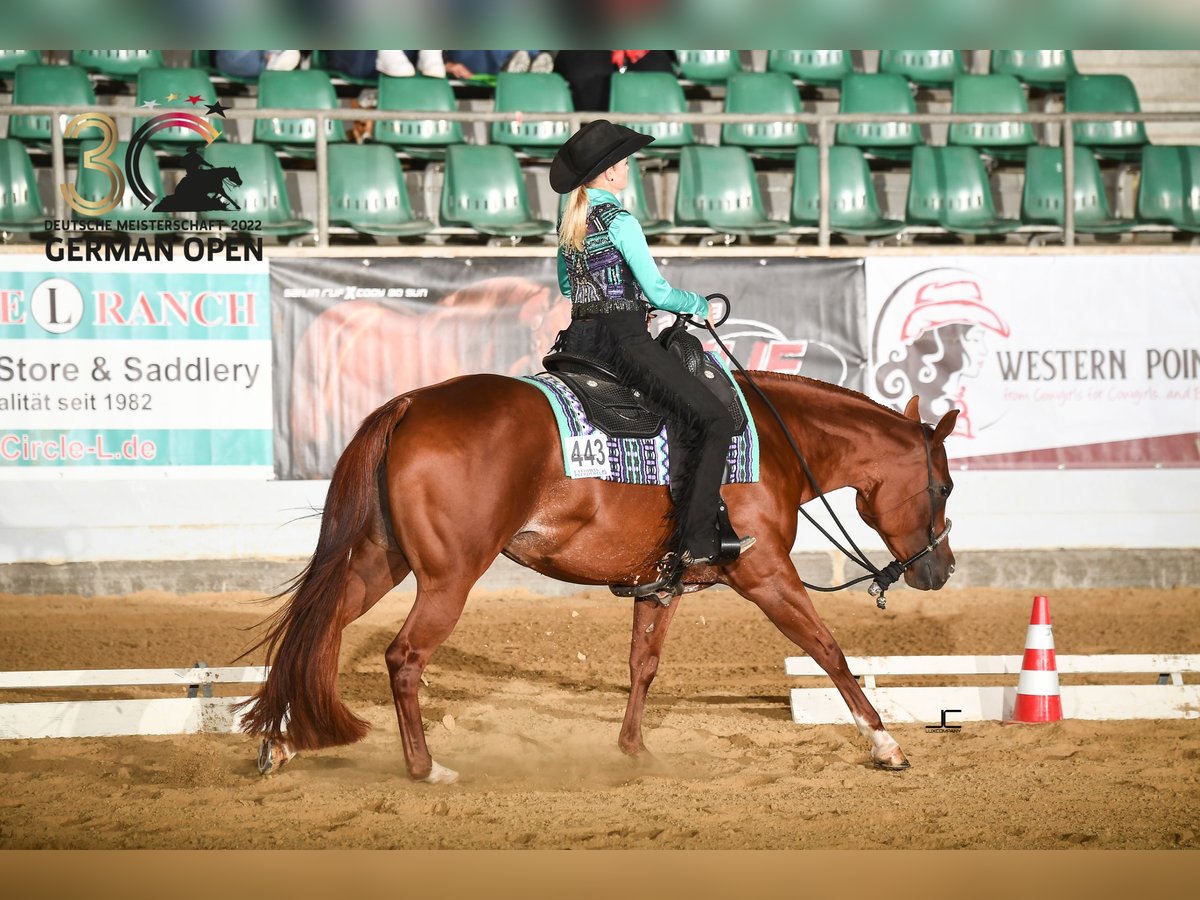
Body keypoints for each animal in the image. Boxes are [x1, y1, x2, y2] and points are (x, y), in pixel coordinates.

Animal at [238, 369, 960, 787]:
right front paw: (885, 744)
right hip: (447, 579)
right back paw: (423, 766)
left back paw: (284, 742)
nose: (942, 568)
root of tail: (411, 404)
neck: (771, 442)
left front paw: (634, 750)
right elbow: (827, 650)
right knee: (404, 656)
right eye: (945, 486)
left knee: (321, 631)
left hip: (378, 562)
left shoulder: (660, 585)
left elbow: (644, 664)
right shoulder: (767, 575)